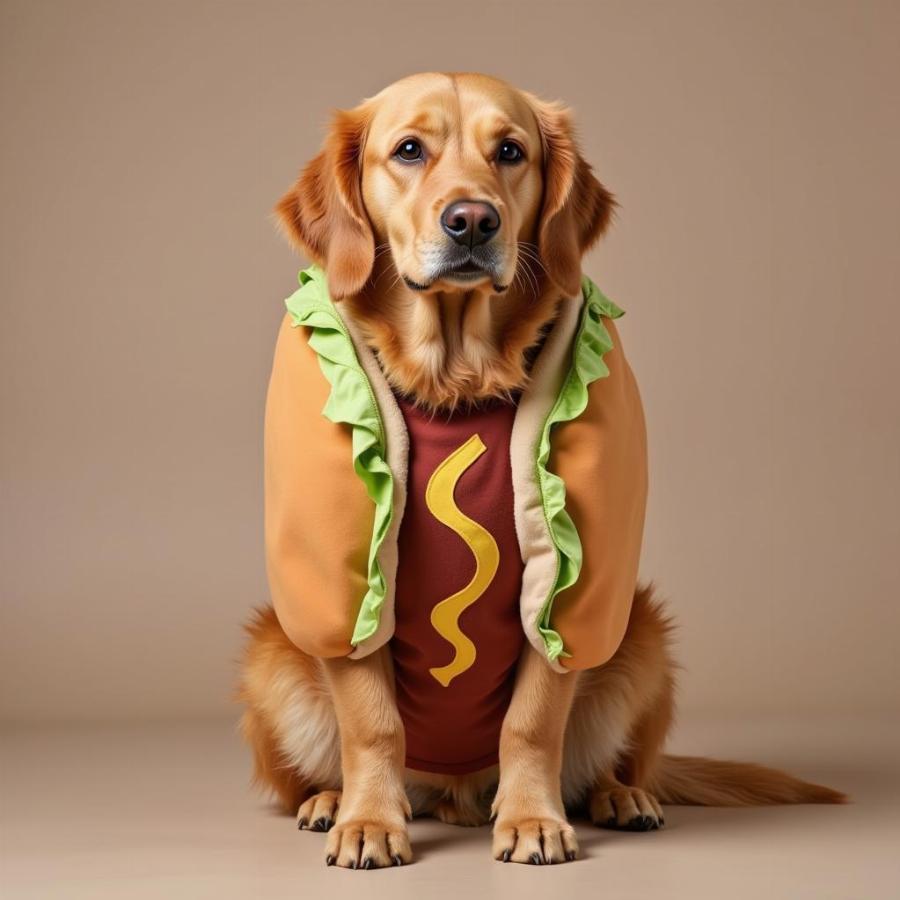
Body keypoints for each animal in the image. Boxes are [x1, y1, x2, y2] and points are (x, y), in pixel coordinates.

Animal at [239, 74, 844, 868]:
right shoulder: (345, 588)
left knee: (608, 764)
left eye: (510, 152)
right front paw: (369, 820)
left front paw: (531, 819)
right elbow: (372, 722)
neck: (456, 382)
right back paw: (329, 799)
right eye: (409, 150)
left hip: (641, 634)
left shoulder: (572, 589)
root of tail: (453, 793)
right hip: (272, 653)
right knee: (324, 764)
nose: (471, 221)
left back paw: (621, 796)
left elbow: (532, 719)